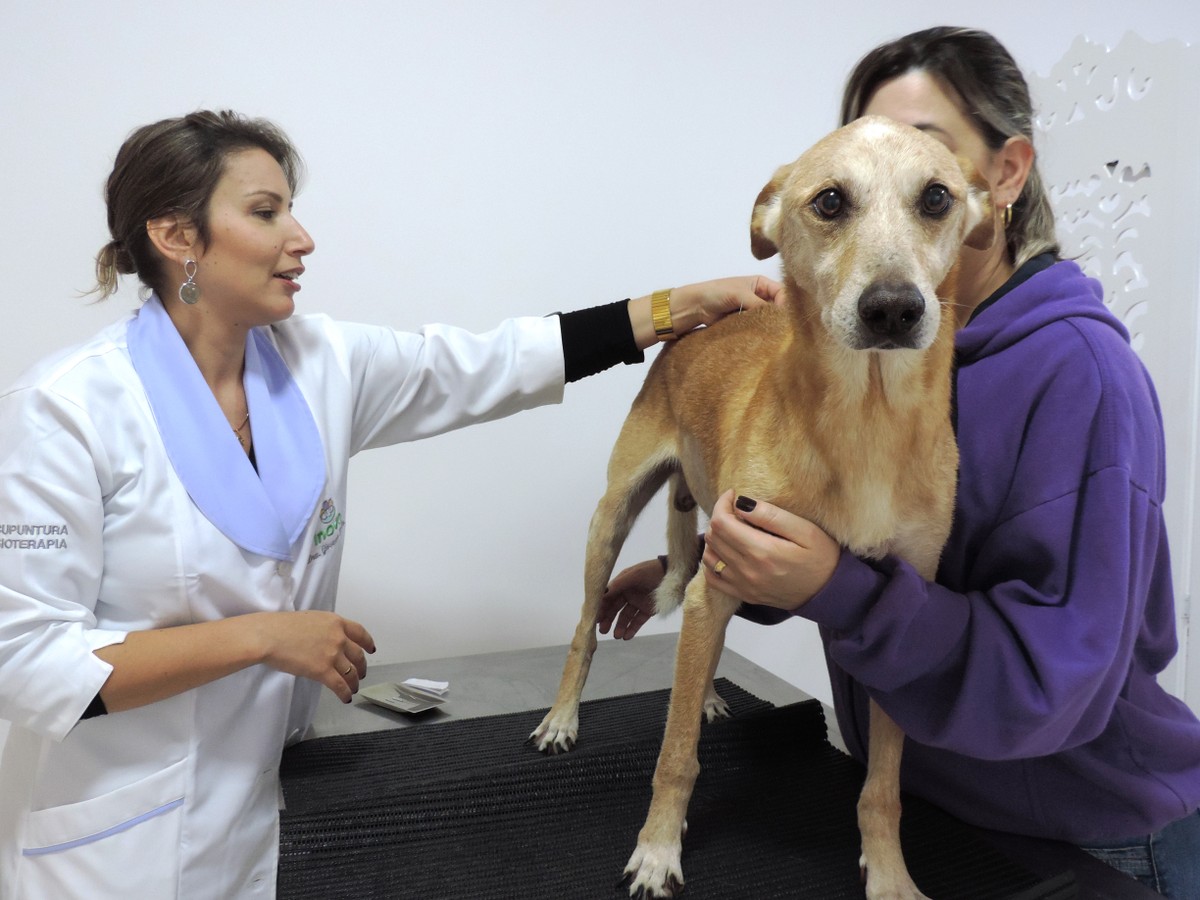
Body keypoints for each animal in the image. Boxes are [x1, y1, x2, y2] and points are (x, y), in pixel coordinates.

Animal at [530, 114, 988, 900]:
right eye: (829, 200)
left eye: (937, 197)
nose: (893, 308)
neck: (867, 420)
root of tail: (693, 331)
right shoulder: (718, 575)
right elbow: (675, 753)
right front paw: (657, 850)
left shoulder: (901, 606)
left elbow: (883, 785)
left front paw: (890, 873)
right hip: (611, 519)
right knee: (587, 629)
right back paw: (564, 717)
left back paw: (710, 695)